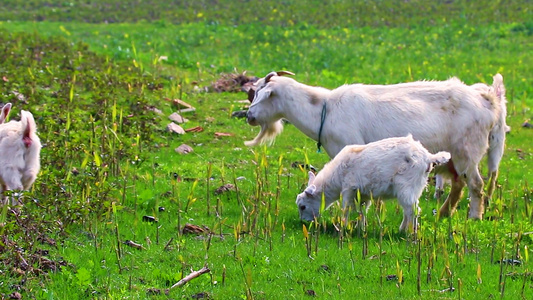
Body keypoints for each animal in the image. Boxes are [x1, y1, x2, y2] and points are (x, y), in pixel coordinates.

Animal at [245, 72, 502, 218]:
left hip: (467, 151)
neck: (325, 109)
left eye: (261, 94)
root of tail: (488, 101)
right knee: (459, 184)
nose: (248, 116)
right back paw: (444, 214)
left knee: (476, 184)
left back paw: (474, 216)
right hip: (454, 159)